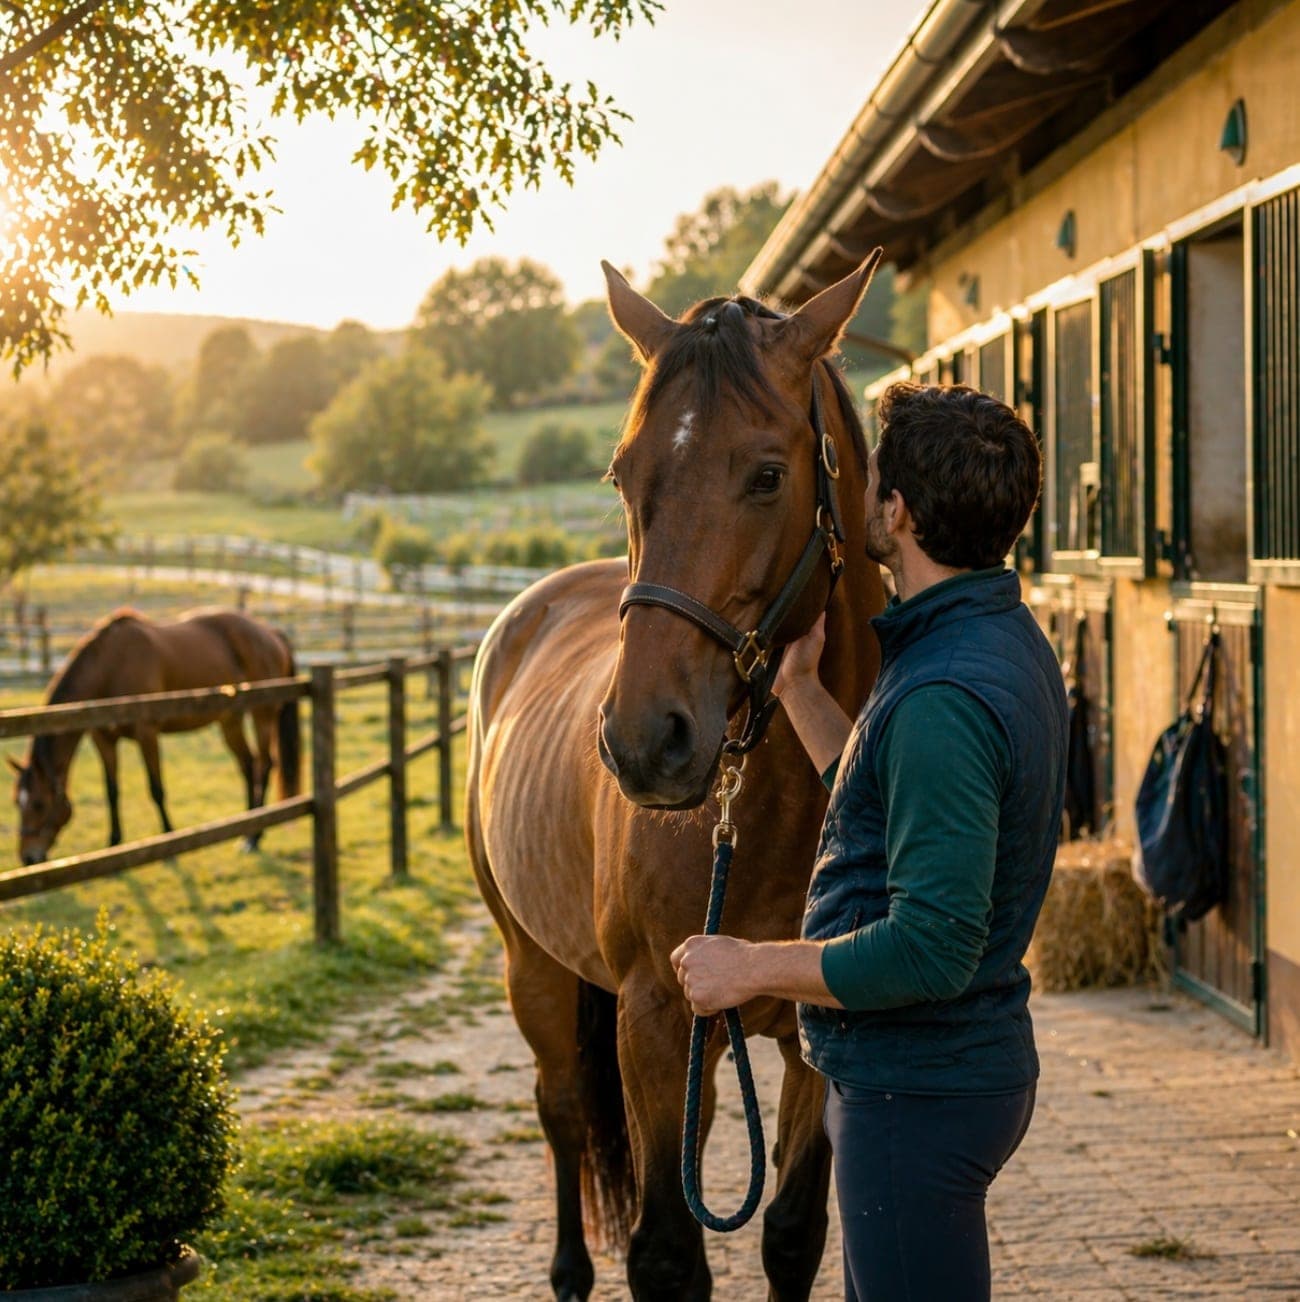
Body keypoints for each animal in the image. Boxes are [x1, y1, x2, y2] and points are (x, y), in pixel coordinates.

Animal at [8, 608, 300, 866]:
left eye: (38, 804)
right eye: (16, 802)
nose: (28, 857)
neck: (109, 668)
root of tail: (270, 632)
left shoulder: (146, 732)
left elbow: (156, 789)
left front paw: (169, 842)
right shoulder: (103, 739)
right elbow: (112, 791)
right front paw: (113, 844)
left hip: (262, 714)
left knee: (264, 764)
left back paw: (255, 837)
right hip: (230, 720)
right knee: (248, 765)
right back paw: (247, 829)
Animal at [466, 253, 886, 1300]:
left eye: (768, 475)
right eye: (623, 473)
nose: (643, 742)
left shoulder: (822, 1026)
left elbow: (792, 1233)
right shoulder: (653, 1016)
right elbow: (664, 1253)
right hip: (535, 971)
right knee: (564, 1114)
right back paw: (569, 1272)